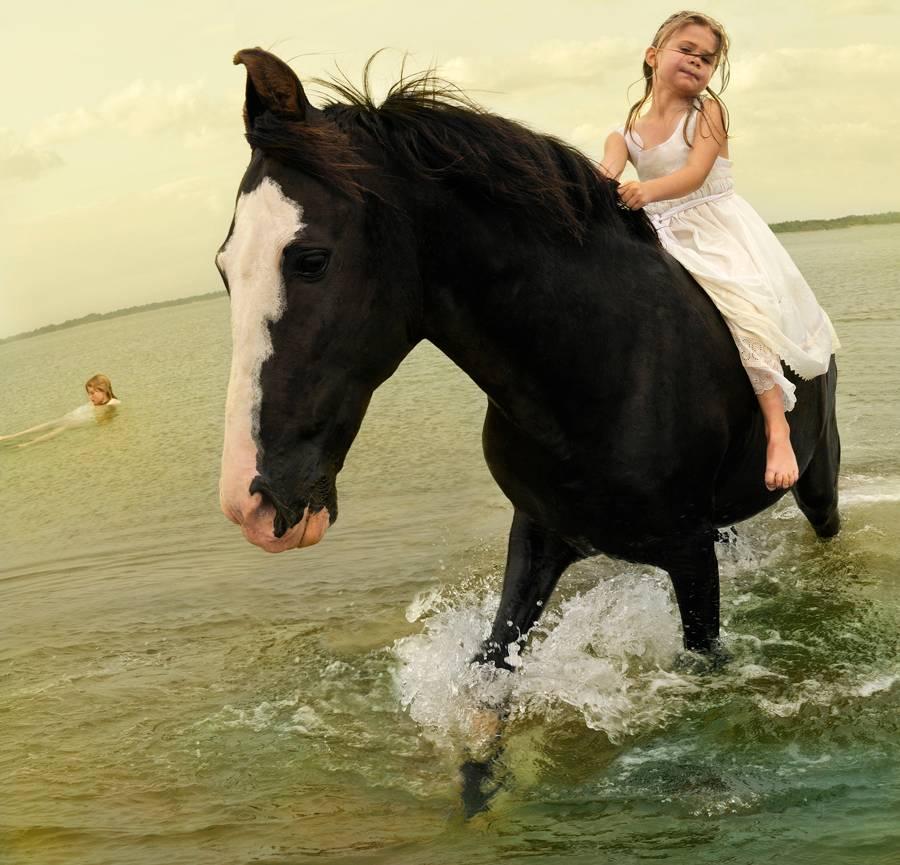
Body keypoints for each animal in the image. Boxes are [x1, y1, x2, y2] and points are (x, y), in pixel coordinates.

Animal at [216, 48, 840, 811]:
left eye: (310, 258)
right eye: (224, 267)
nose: (250, 502)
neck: (599, 364)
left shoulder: (689, 553)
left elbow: (704, 673)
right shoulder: (540, 532)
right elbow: (490, 668)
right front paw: (479, 788)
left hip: (817, 485)